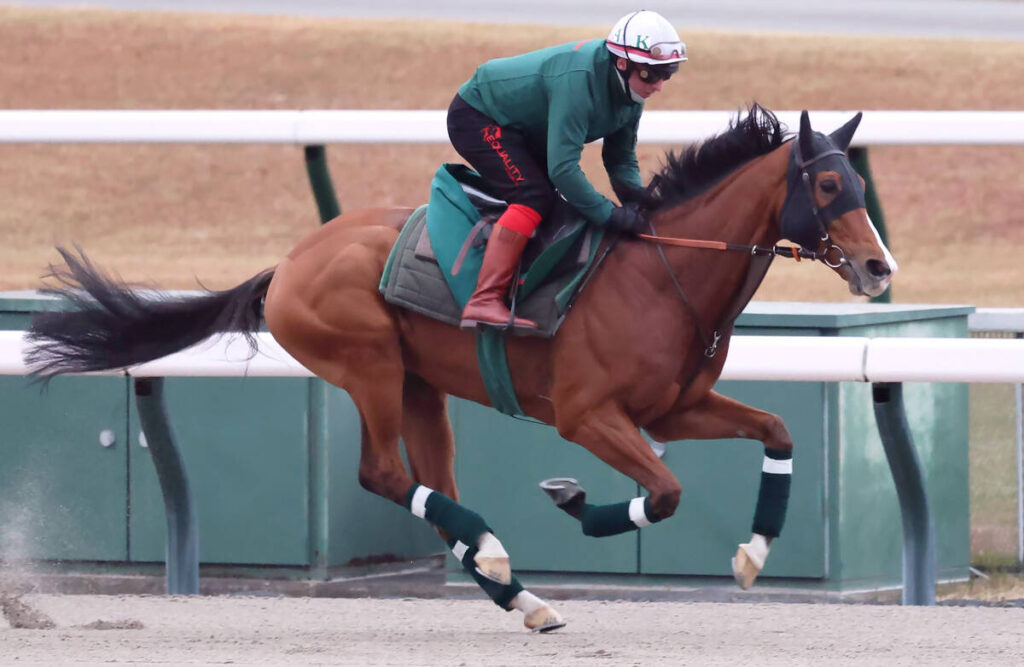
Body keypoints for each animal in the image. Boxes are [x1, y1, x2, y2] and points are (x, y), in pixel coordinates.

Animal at [24, 104, 895, 632]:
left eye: (859, 179)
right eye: (826, 182)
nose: (879, 267)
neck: (663, 272)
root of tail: (290, 262)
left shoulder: (673, 409)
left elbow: (777, 431)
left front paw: (753, 554)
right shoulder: (589, 415)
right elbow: (667, 491)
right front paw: (576, 500)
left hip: (421, 387)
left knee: (435, 487)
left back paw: (521, 589)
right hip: (368, 363)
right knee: (383, 473)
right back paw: (504, 561)